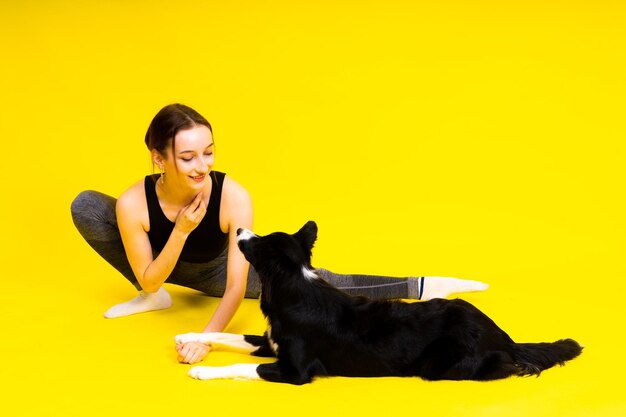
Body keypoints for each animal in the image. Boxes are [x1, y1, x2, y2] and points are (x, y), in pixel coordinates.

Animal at [174, 221, 580, 384]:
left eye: (257, 243)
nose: (239, 230)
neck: (295, 287)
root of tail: (502, 336)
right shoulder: (270, 341)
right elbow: (227, 336)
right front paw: (189, 337)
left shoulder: (295, 371)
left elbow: (244, 367)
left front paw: (203, 373)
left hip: (444, 364)